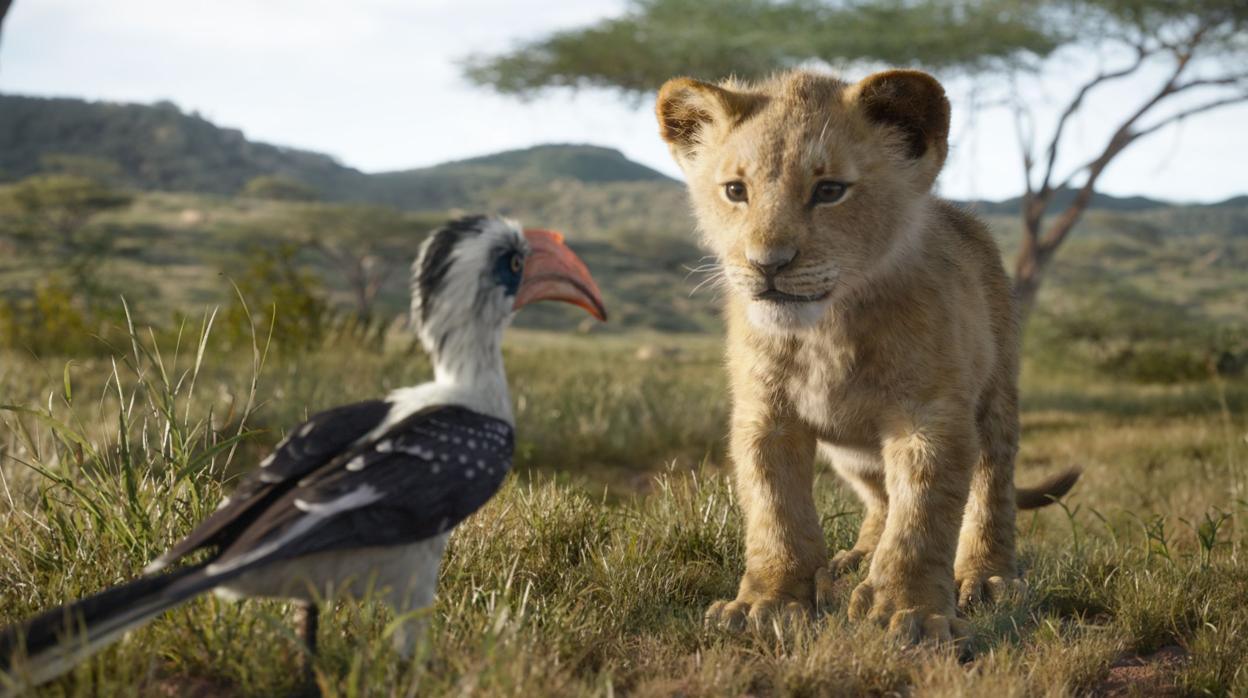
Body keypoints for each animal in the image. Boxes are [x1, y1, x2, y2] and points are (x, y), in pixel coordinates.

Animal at [655, 69, 1078, 643]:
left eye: (830, 190)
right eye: (736, 191)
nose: (767, 264)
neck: (826, 330)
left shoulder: (929, 417)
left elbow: (922, 517)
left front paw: (911, 612)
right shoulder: (765, 416)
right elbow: (775, 511)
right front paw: (767, 603)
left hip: (996, 397)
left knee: (992, 486)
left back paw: (987, 577)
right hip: (851, 452)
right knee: (880, 498)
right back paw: (854, 559)